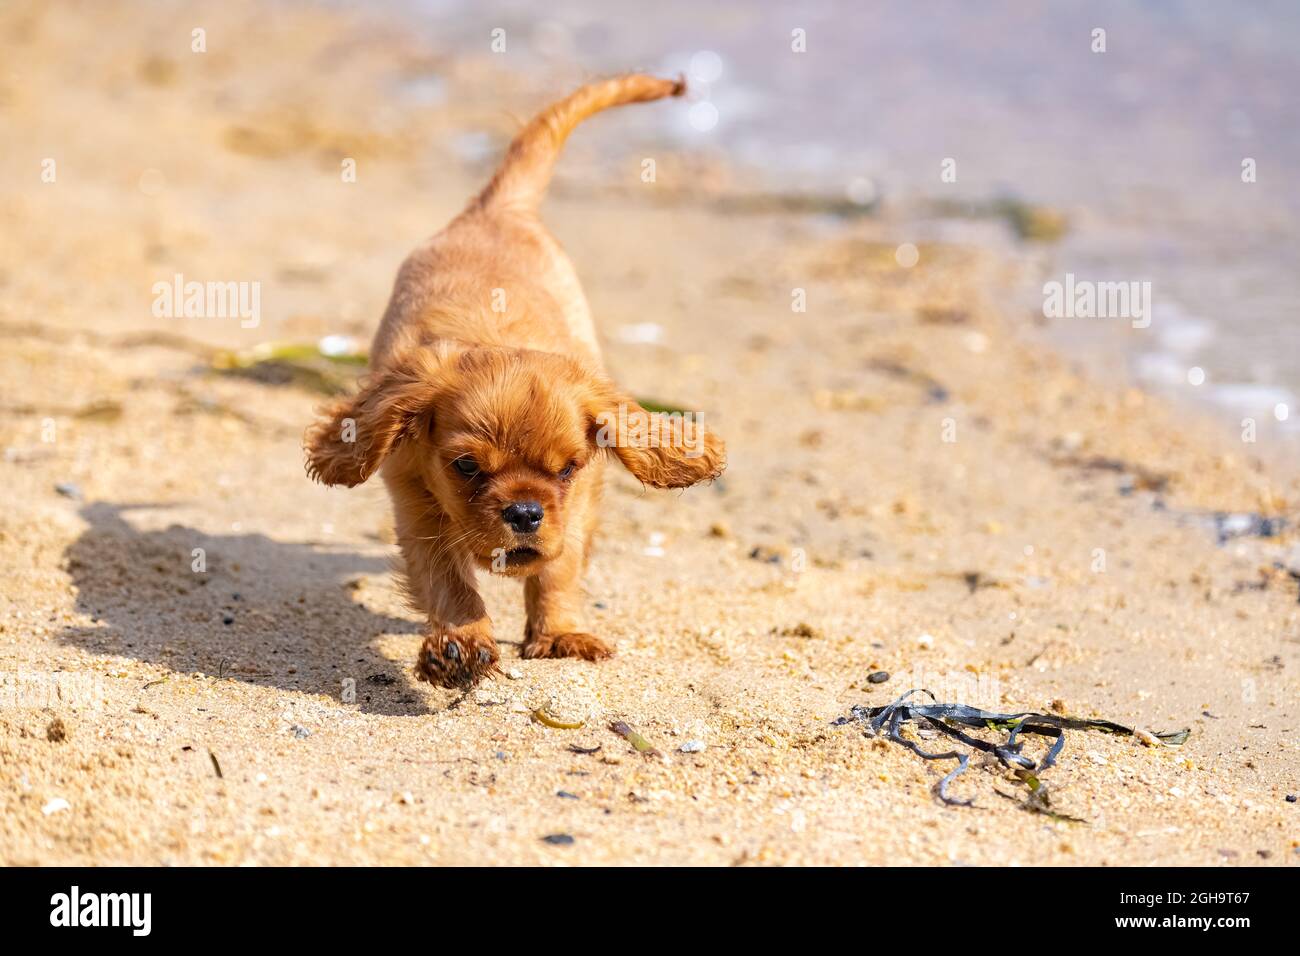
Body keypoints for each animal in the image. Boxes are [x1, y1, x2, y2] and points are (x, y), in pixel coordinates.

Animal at [308, 74, 728, 686]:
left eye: (567, 468)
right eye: (466, 467)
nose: (525, 513)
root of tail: (498, 209)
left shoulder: (578, 502)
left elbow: (558, 568)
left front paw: (558, 635)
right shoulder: (416, 501)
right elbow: (447, 578)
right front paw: (460, 644)